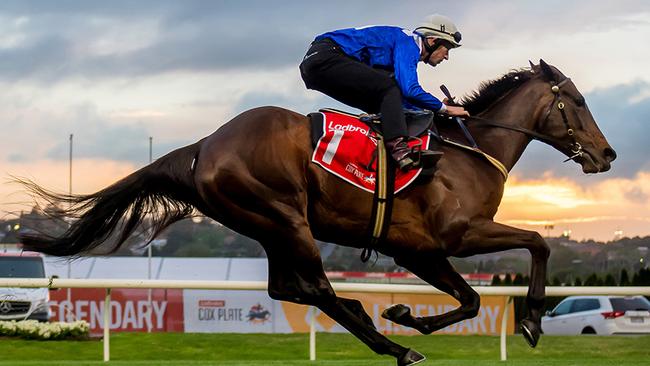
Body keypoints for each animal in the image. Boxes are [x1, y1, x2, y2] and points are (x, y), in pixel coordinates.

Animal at [19, 58, 612, 364]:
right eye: (579, 102)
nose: (605, 154)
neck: (469, 151)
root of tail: (202, 146)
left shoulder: (422, 249)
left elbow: (475, 293)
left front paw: (408, 313)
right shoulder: (448, 238)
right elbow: (531, 247)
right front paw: (529, 318)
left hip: (269, 226)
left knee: (288, 288)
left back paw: (372, 324)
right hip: (285, 217)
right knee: (316, 288)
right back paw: (387, 339)